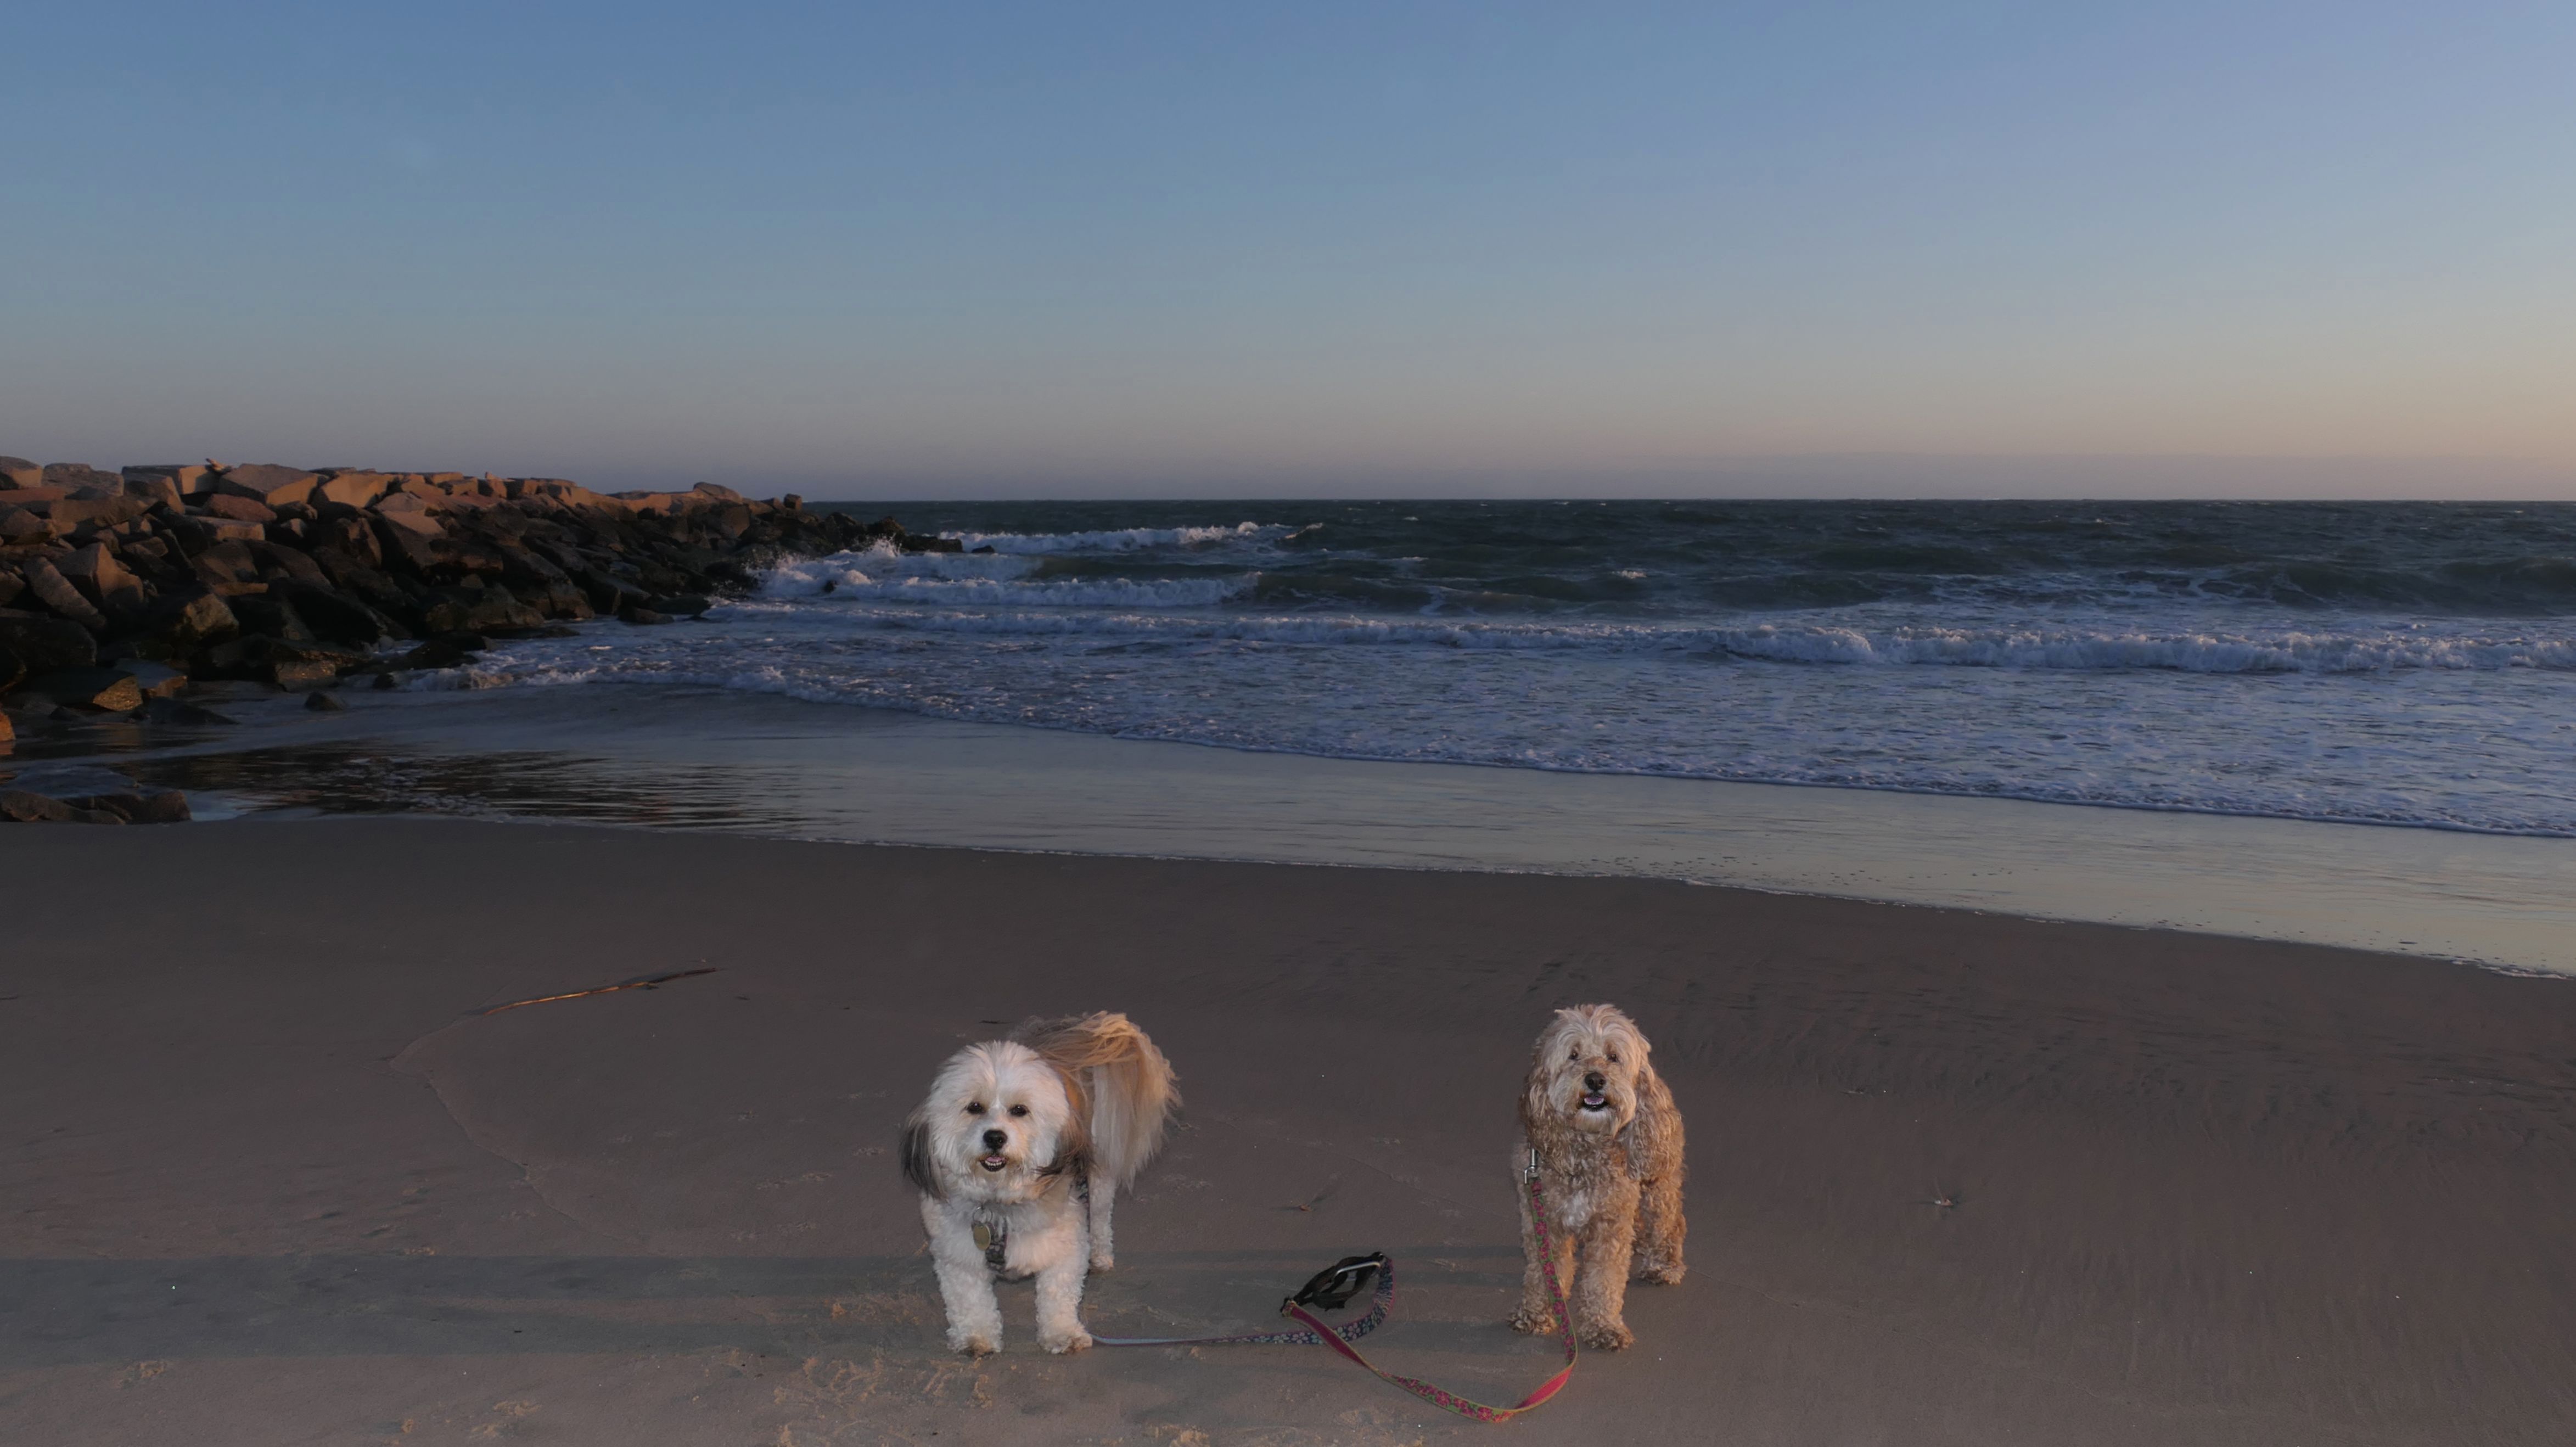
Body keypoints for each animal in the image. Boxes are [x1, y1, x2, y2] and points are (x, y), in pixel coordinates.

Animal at [903, 1011, 1178, 1355]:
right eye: (974, 1107)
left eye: (1020, 1110)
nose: (995, 1137)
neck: (1000, 1204)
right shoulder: (958, 1254)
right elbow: (970, 1301)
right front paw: (976, 1337)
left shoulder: (1067, 1245)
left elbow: (1057, 1296)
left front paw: (1062, 1334)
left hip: (1098, 1182)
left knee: (1102, 1219)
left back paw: (1100, 1256)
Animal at [1509, 1003, 1685, 1350]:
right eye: (1573, 1056)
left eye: (1613, 1057)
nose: (1595, 1079)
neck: (1585, 1149)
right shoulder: (1543, 1218)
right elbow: (1542, 1270)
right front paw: (1538, 1313)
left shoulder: (1610, 1225)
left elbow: (1604, 1280)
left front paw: (1604, 1326)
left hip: (1657, 1180)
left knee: (1669, 1220)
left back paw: (1664, 1263)